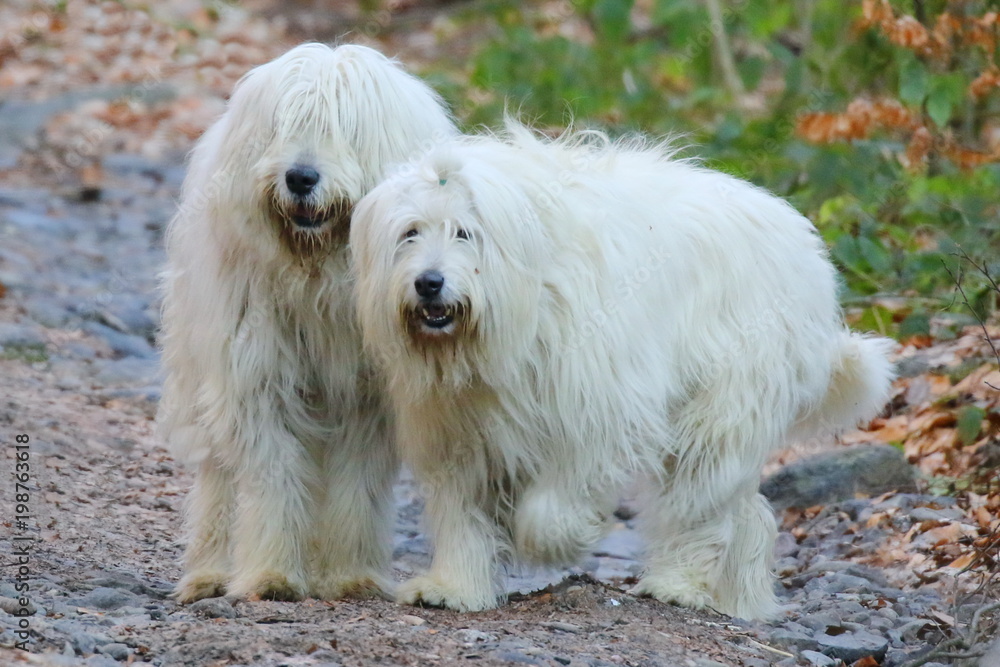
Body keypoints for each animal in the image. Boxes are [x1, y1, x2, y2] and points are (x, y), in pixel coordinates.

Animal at [158, 41, 456, 604]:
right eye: (284, 124)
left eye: (344, 127)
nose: (300, 178)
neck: (321, 274)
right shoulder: (258, 376)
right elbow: (272, 476)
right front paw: (271, 575)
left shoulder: (369, 397)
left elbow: (356, 483)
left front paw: (350, 574)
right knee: (218, 476)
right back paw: (209, 573)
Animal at [352, 122, 900, 620]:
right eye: (410, 233)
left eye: (465, 232)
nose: (429, 283)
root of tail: (807, 249)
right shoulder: (455, 425)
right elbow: (461, 510)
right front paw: (454, 587)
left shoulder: (597, 404)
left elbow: (560, 494)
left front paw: (557, 539)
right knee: (742, 510)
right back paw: (740, 599)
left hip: (728, 395)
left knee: (699, 495)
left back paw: (678, 584)